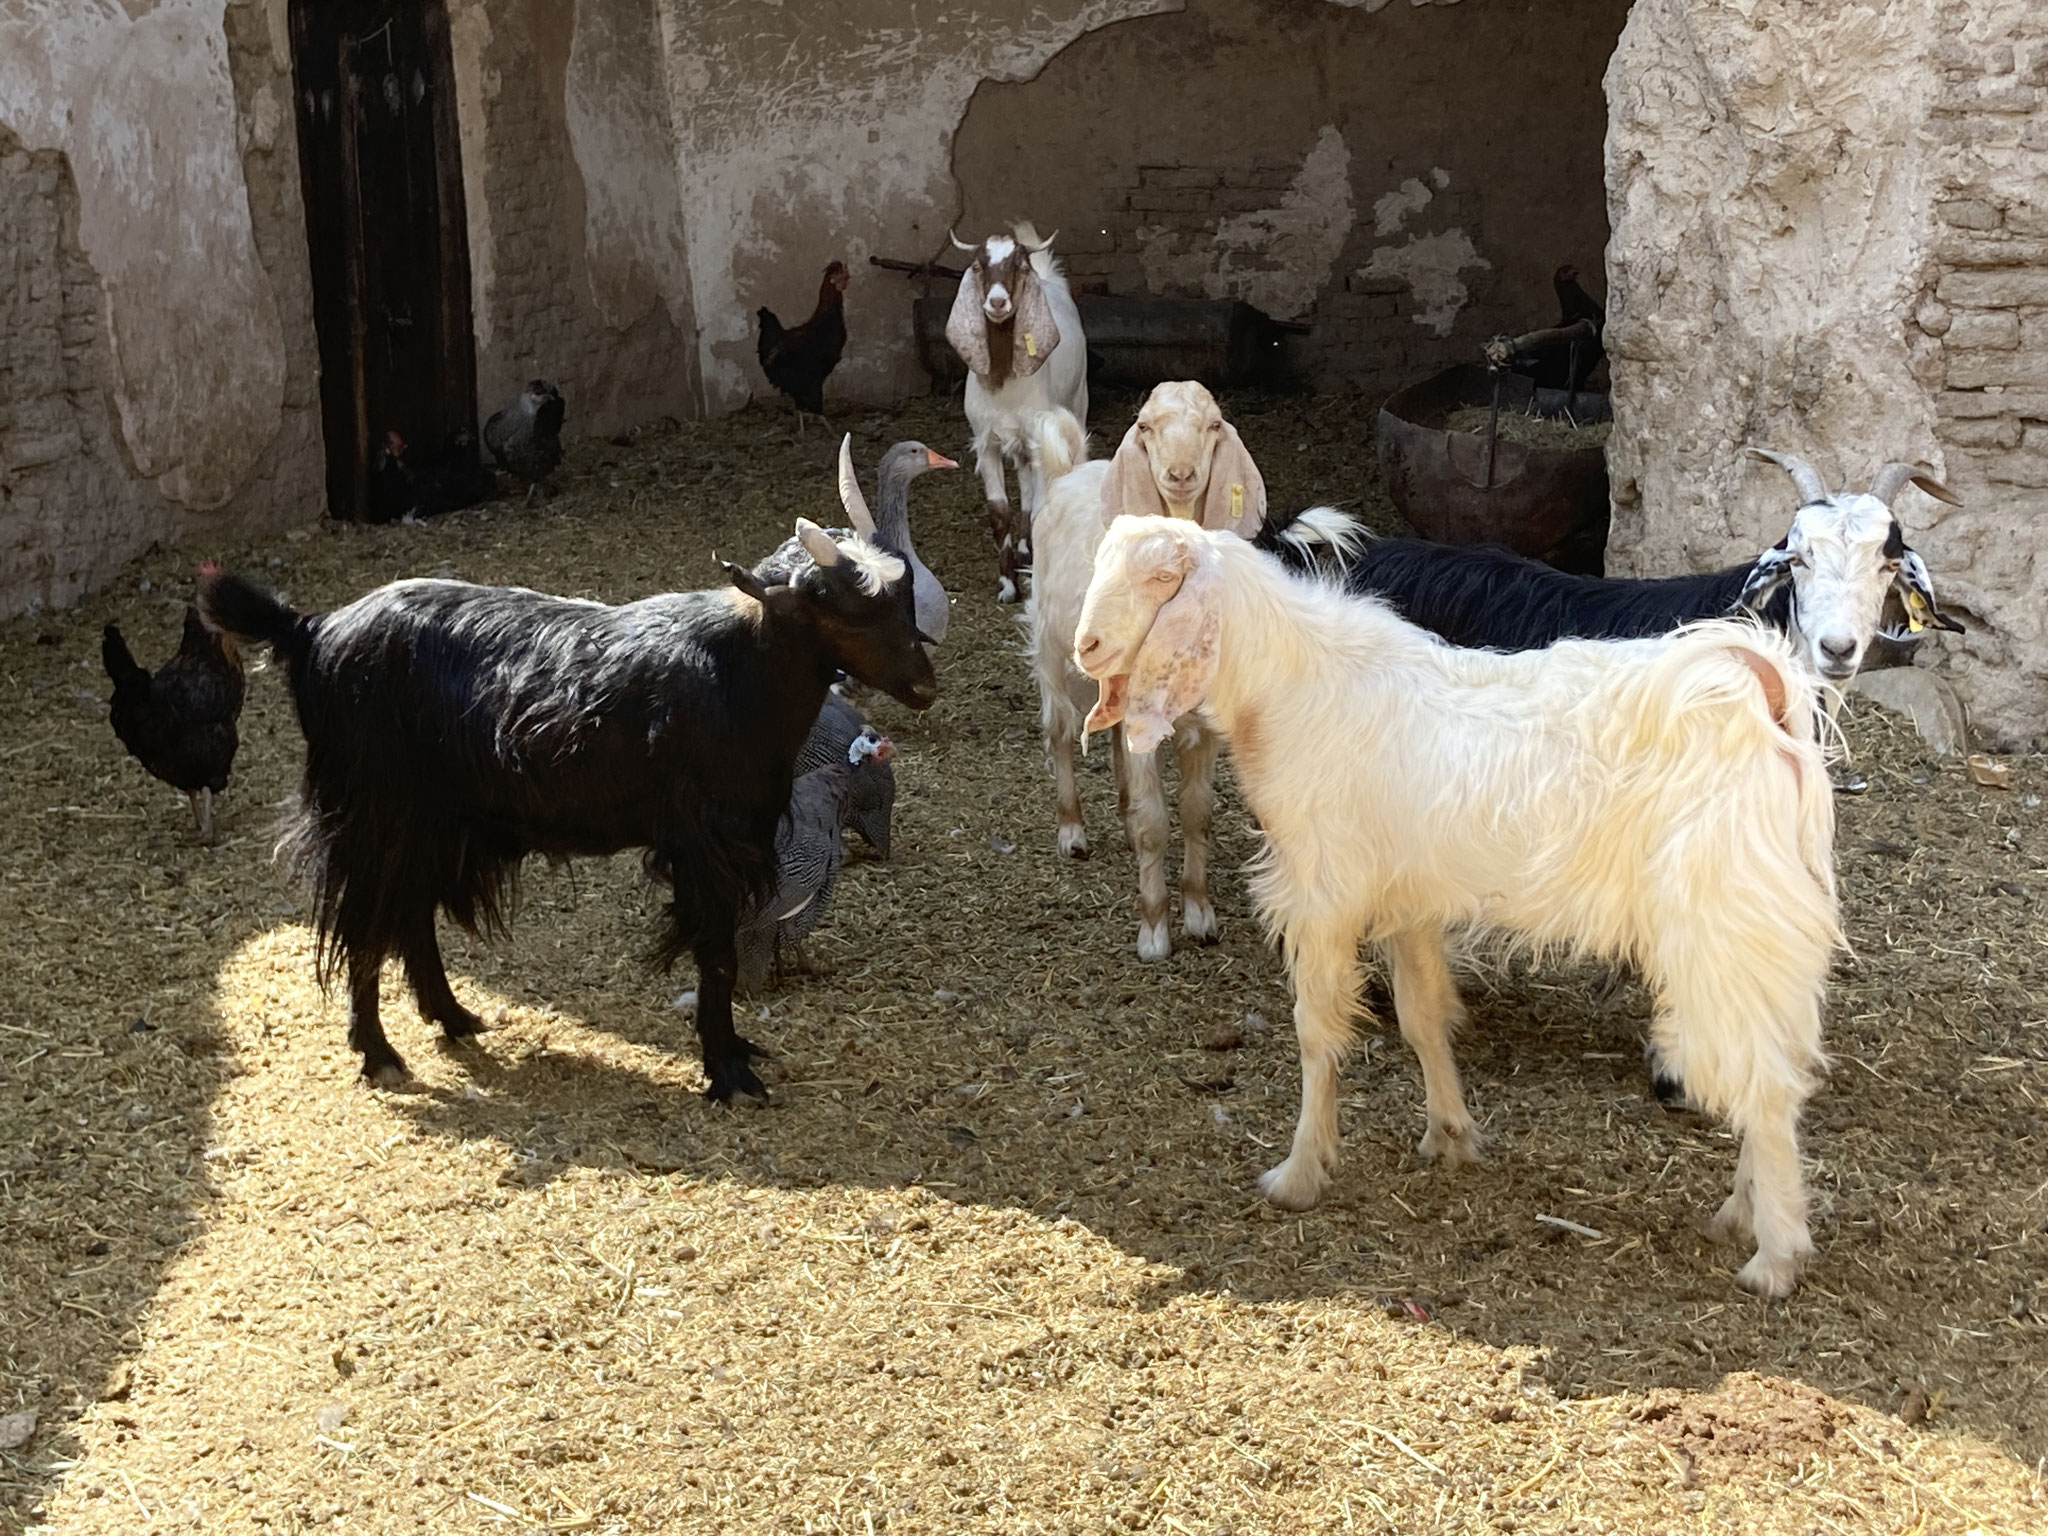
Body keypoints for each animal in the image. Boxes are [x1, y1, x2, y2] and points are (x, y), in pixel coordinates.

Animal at [195, 524, 933, 1097]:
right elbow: (718, 954)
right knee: (363, 923)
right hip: (372, 812)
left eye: (901, 597)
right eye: (828, 602)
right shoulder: (704, 842)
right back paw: (379, 1055)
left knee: (409, 916)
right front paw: (728, 1073)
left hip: (429, 821)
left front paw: (734, 1054)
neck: (739, 670)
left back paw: (453, 1017)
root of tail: (311, 630)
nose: (924, 685)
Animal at [950, 225, 1097, 606]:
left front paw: (1030, 579)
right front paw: (1007, 583)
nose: (997, 302)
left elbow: (1043, 501)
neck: (1004, 379)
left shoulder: (1038, 435)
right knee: (1027, 486)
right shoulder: (986, 440)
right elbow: (999, 510)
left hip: (1077, 402)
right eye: (979, 265)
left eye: (1019, 266)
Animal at [1024, 382, 1261, 962]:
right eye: (1146, 427)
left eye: (1214, 425)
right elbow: (1157, 823)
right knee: (1061, 730)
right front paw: (1154, 930)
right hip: (1049, 645)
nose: (1180, 473)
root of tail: (1070, 469)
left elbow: (1199, 812)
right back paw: (1072, 831)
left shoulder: (1206, 724)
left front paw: (1200, 915)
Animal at [1081, 518, 1851, 1302]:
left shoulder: (1323, 896)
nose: (1086, 646)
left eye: (1161, 579)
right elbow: (1423, 1016)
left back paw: (1775, 1256)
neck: (1297, 685)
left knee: (1768, 1084)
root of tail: (1759, 695)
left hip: (1723, 925)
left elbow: (1317, 1034)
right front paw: (1448, 1134)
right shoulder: (1407, 902)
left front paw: (1298, 1174)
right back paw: (1738, 1215)